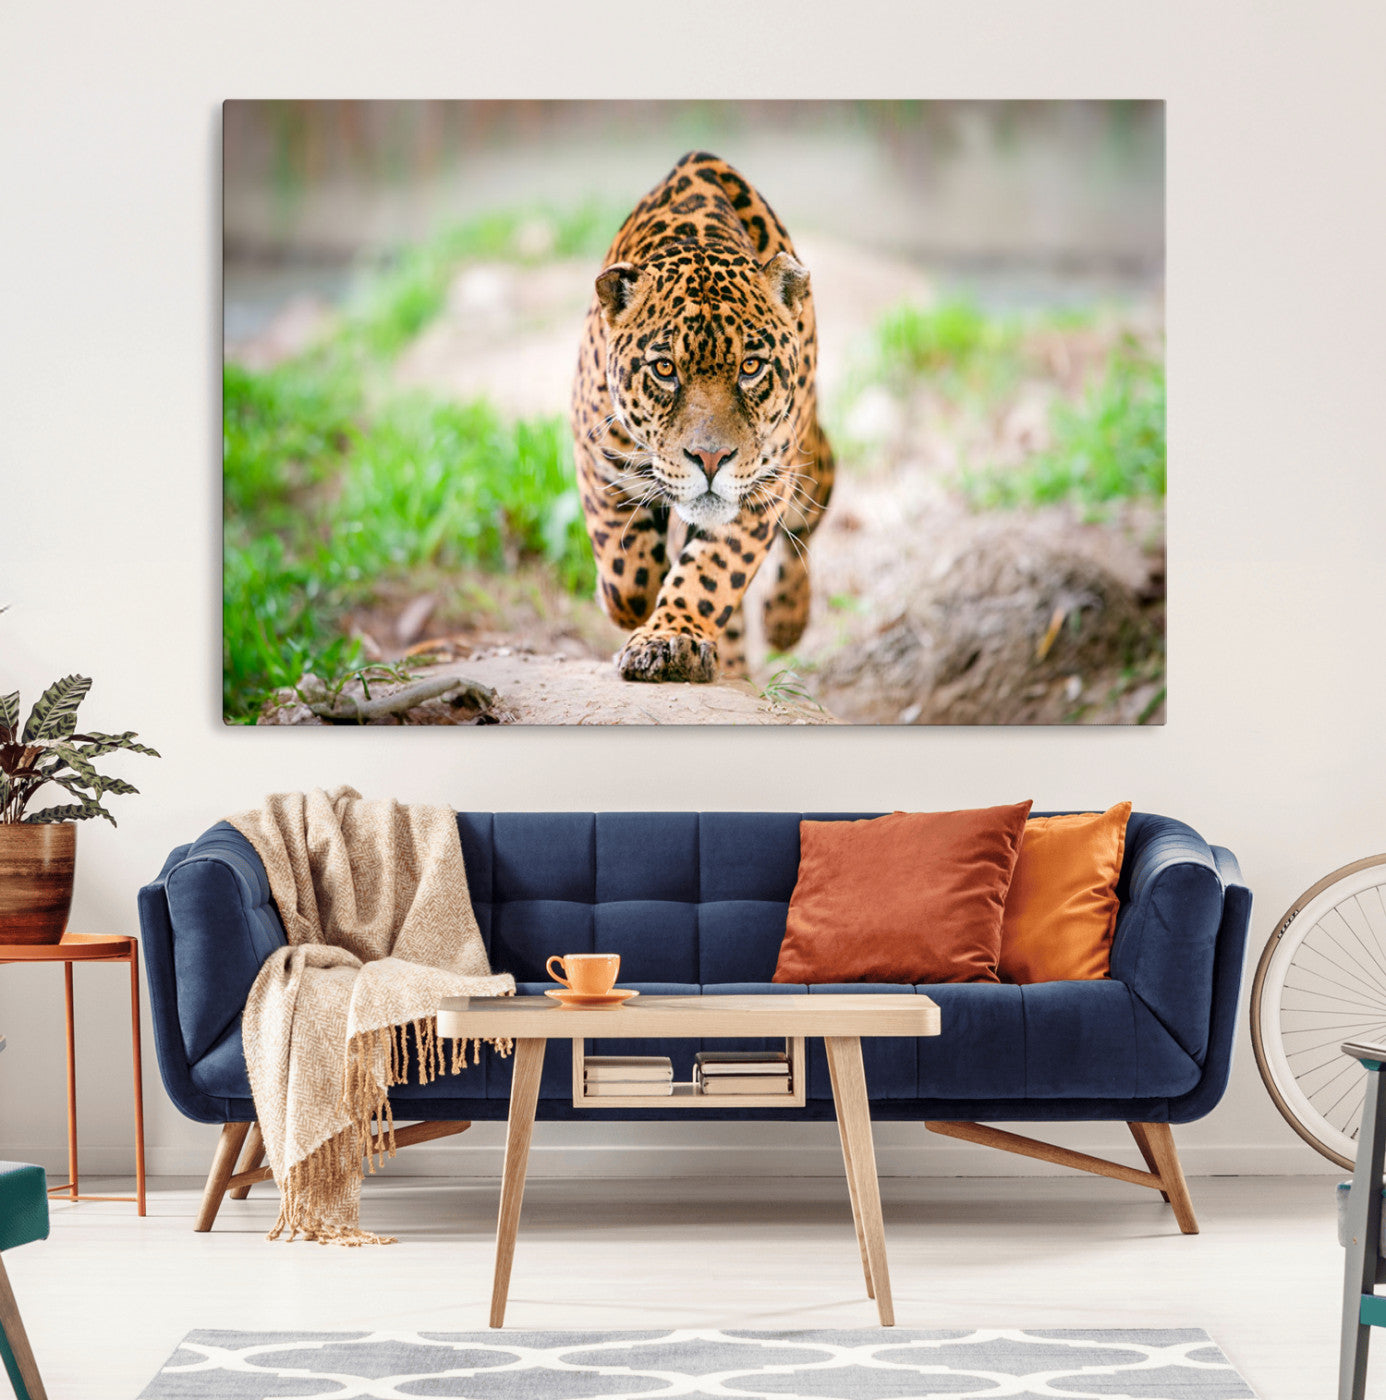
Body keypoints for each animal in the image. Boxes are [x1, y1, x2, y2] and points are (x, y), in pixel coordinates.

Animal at [570, 151, 834, 683]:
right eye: (664, 369)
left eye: (750, 367)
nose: (710, 459)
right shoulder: (596, 455)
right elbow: (626, 573)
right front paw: (631, 605)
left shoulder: (763, 487)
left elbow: (711, 574)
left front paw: (670, 639)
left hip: (808, 465)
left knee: (810, 514)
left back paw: (785, 620)